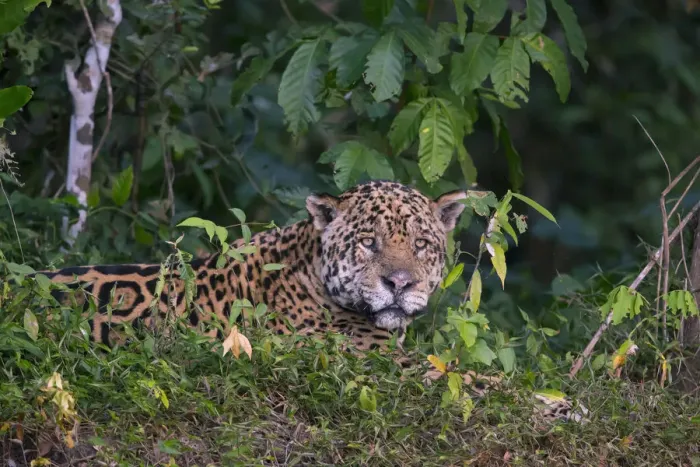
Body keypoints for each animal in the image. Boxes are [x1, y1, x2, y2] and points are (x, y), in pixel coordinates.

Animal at [35, 180, 585, 423]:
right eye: (369, 243)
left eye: (421, 245)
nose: (400, 284)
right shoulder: (379, 369)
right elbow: (474, 379)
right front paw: (561, 404)